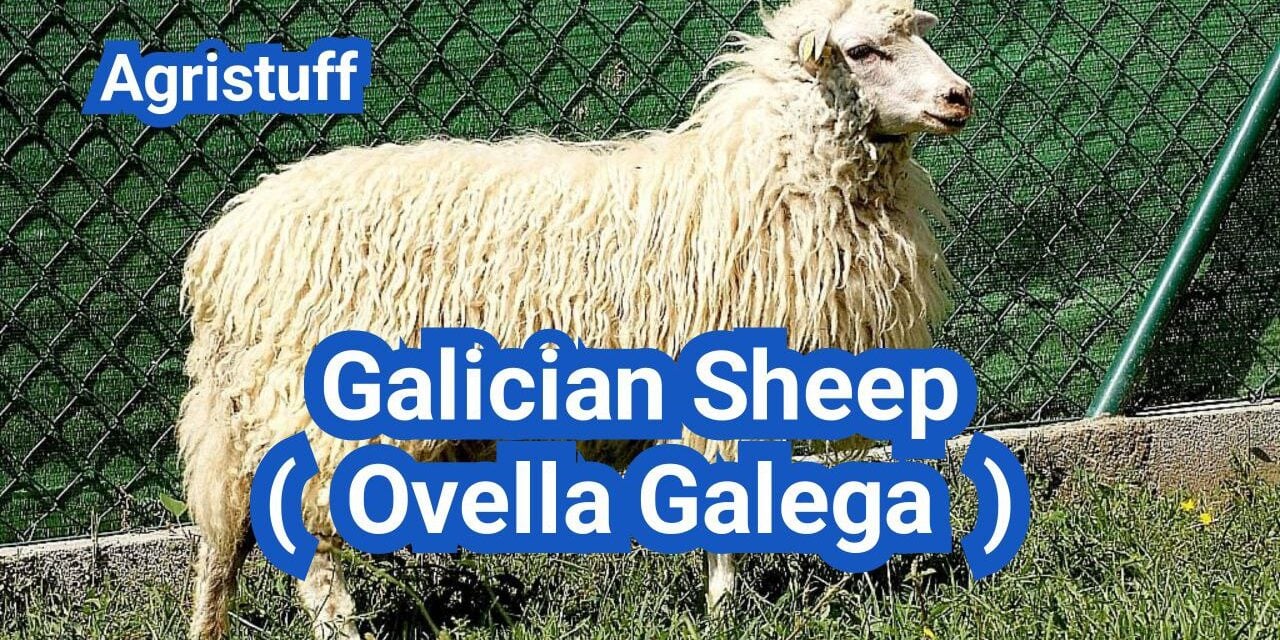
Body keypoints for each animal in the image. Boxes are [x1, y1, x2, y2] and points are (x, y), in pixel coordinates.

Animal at [177, 0, 973, 637]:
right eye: (863, 50)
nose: (959, 97)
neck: (765, 177)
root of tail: (225, 245)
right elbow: (725, 512)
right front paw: (724, 609)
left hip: (239, 411)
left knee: (224, 537)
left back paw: (208, 626)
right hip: (308, 404)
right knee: (305, 536)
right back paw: (337, 625)